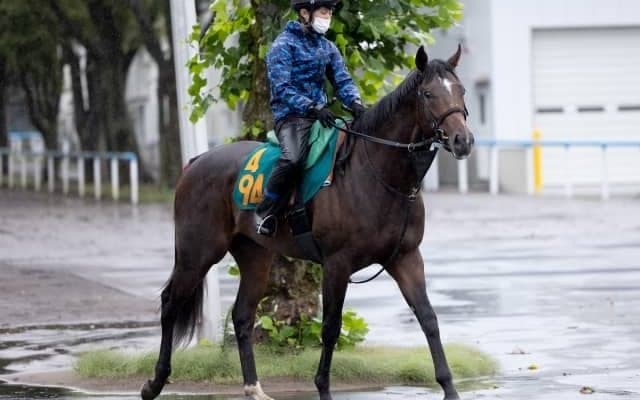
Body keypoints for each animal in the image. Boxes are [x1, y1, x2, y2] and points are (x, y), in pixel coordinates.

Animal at [141, 44, 474, 400]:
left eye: (461, 90)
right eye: (428, 93)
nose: (462, 140)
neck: (376, 175)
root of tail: (196, 162)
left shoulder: (405, 257)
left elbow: (428, 318)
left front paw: (449, 388)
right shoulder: (337, 264)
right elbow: (330, 328)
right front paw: (323, 388)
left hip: (255, 255)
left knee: (242, 315)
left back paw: (253, 388)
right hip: (198, 252)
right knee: (170, 303)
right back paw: (154, 383)